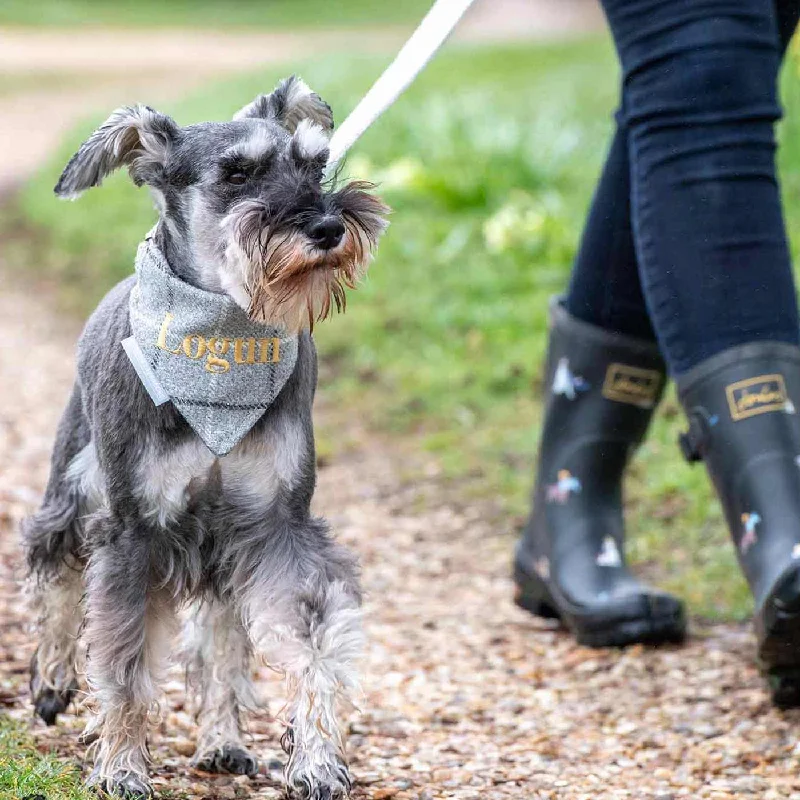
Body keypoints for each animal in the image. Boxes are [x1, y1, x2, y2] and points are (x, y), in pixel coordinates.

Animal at [22, 76, 390, 800]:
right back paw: (51, 679)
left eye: (315, 165)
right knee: (55, 570)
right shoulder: (133, 532)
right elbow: (125, 662)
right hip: (72, 485)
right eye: (237, 173)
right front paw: (122, 766)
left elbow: (313, 642)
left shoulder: (279, 525)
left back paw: (223, 740)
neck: (221, 333)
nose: (329, 227)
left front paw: (316, 758)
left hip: (222, 542)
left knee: (220, 641)